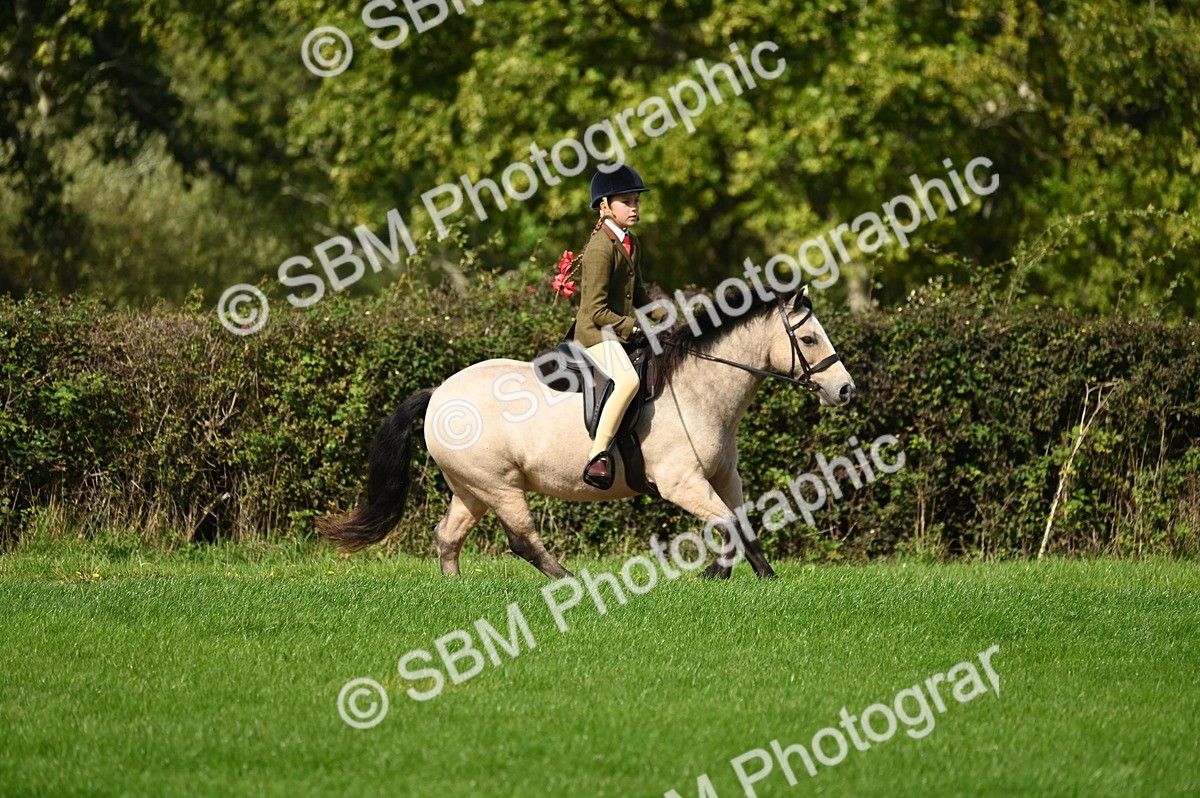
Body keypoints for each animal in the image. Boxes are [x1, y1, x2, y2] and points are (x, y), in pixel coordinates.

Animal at [319, 285, 856, 579]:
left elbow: (743, 525)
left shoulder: (724, 475)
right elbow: (725, 523)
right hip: (499, 485)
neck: (699, 386)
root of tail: (438, 393)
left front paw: (766, 579)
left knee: (447, 537)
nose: (846, 390)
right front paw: (713, 576)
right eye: (810, 338)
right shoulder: (681, 482)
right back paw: (569, 581)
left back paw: (455, 591)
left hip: (470, 488)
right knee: (522, 541)